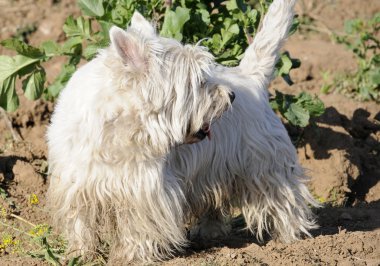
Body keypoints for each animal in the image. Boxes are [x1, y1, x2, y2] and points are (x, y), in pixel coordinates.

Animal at [49, 0, 320, 262]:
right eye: (198, 82)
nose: (231, 96)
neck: (120, 127)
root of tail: (251, 78)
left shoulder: (146, 190)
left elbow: (138, 226)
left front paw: (131, 256)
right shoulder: (77, 183)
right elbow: (80, 222)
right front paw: (80, 254)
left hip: (265, 165)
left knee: (284, 199)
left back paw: (292, 241)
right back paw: (209, 232)